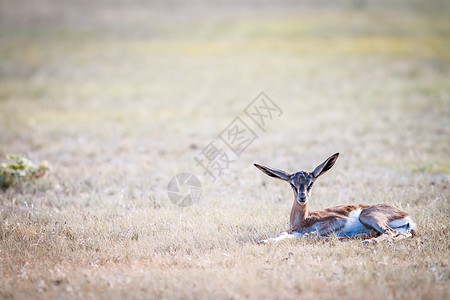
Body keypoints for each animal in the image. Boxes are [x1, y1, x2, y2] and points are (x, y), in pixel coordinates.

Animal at [255, 152, 416, 244]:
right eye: (292, 184)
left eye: (311, 183)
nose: (302, 198)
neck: (304, 220)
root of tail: (406, 215)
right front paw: (264, 241)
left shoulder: (339, 220)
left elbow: (309, 234)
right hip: (398, 228)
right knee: (401, 234)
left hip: (367, 216)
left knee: (390, 232)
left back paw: (369, 240)